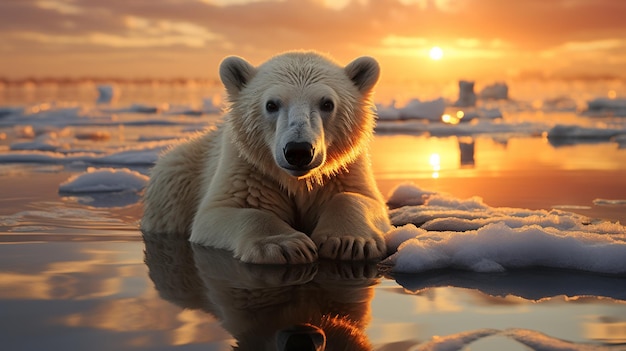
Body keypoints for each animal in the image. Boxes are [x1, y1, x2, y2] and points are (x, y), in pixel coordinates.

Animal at [143, 51, 390, 264]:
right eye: (271, 104)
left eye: (327, 103)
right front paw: (284, 245)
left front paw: (348, 241)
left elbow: (359, 197)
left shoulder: (345, 169)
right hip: (176, 182)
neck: (296, 180)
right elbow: (221, 211)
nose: (298, 150)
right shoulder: (246, 168)